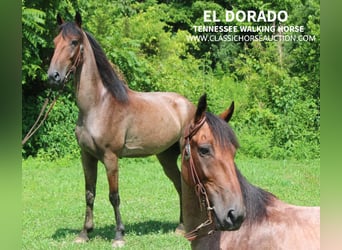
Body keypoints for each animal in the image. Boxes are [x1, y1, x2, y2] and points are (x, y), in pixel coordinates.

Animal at [47, 12, 195, 247]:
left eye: (74, 42)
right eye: (55, 42)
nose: (53, 77)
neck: (98, 105)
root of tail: (187, 104)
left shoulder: (111, 157)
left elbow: (113, 196)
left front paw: (119, 235)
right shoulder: (87, 156)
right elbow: (89, 193)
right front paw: (84, 233)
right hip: (166, 157)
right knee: (180, 184)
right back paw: (181, 227)